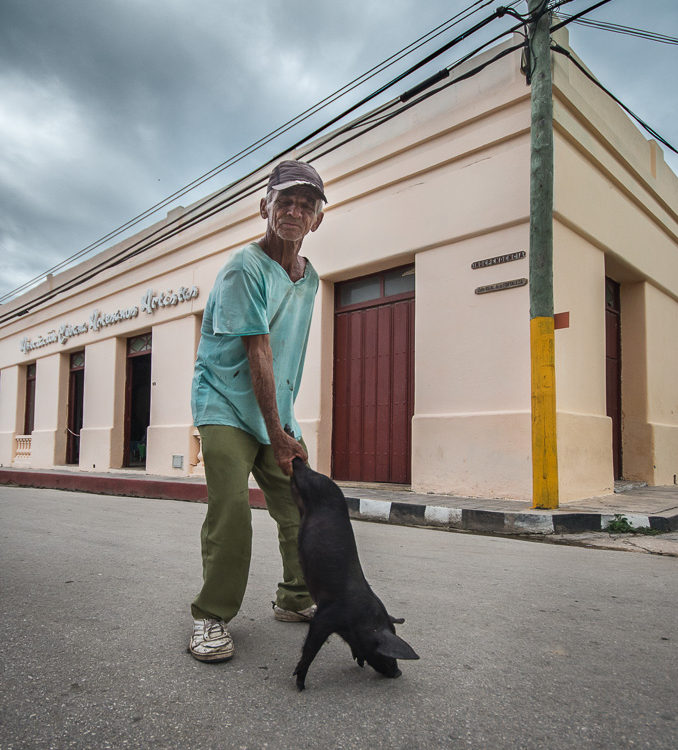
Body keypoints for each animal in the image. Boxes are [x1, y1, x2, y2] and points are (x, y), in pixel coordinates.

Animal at [288, 456, 418, 692]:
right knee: (299, 470)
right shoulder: (325, 616)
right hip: (310, 481)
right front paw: (300, 684)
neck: (358, 621)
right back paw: (294, 458)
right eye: (384, 652)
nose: (397, 672)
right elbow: (311, 646)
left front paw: (359, 661)